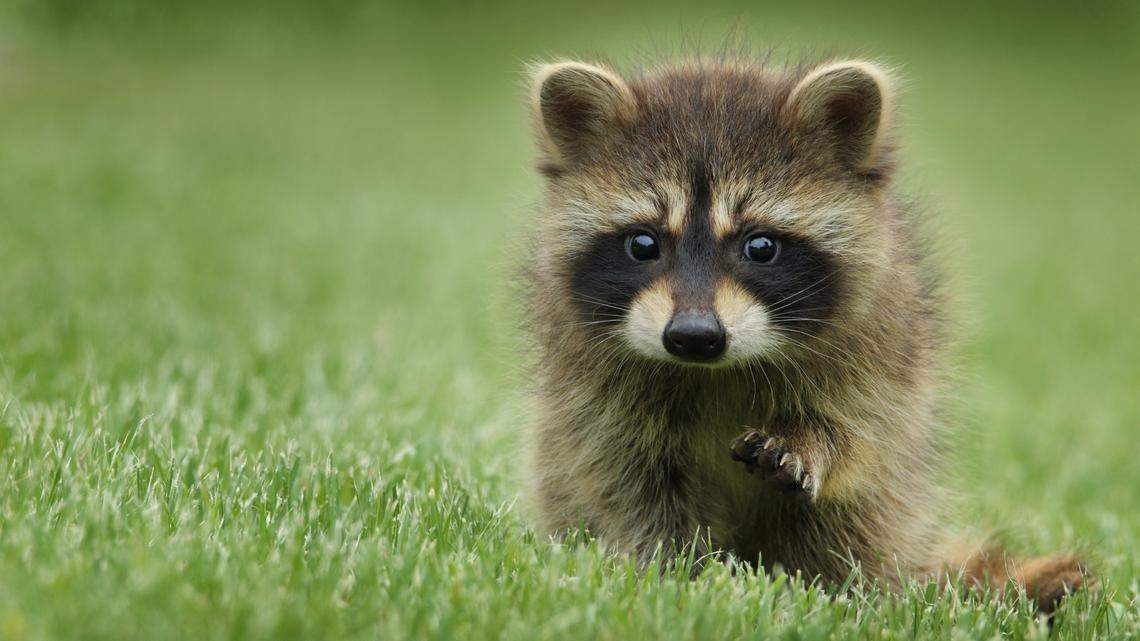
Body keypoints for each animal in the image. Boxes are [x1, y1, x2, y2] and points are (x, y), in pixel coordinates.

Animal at [520, 56, 1091, 613]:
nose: (694, 336)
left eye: (760, 247)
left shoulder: (882, 345)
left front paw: (811, 442)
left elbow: (860, 432)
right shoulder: (593, 390)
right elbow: (624, 478)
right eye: (643, 244)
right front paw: (672, 571)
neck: (717, 371)